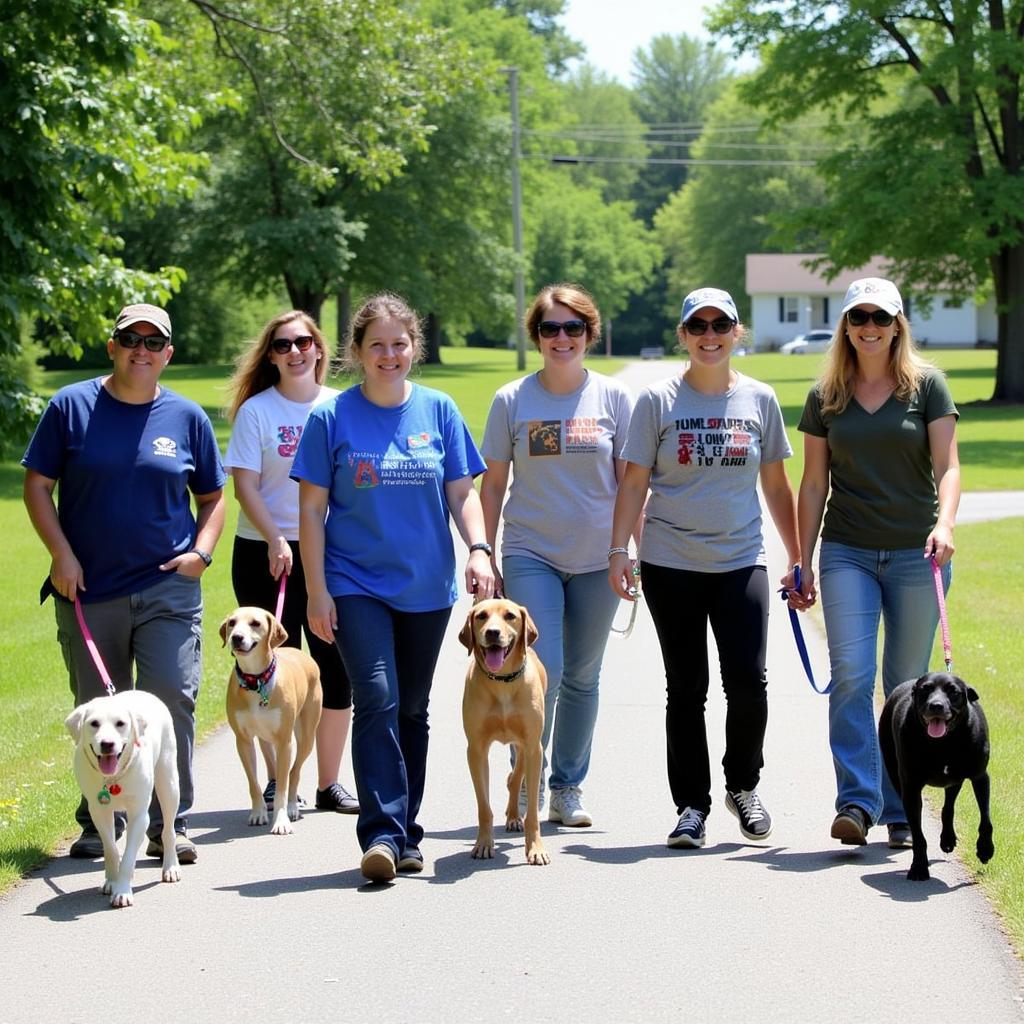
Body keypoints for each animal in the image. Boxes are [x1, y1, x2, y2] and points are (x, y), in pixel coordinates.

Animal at [65, 692, 182, 909]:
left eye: (120, 723)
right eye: (94, 723)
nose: (107, 744)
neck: (113, 779)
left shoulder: (139, 816)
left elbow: (128, 856)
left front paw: (122, 892)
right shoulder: (99, 811)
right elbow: (111, 848)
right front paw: (112, 881)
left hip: (168, 782)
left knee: (168, 829)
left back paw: (171, 866)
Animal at [218, 606, 321, 831]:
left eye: (255, 623)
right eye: (232, 622)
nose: (236, 637)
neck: (256, 681)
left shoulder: (284, 742)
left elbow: (283, 784)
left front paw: (281, 820)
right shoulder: (243, 742)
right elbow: (253, 783)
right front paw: (258, 812)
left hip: (307, 735)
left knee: (294, 771)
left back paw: (292, 807)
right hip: (265, 737)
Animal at [460, 598, 548, 864]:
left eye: (510, 616)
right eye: (481, 616)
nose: (492, 632)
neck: (502, 683)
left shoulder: (533, 746)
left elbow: (532, 811)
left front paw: (535, 849)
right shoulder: (476, 750)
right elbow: (484, 806)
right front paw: (483, 844)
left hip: (526, 746)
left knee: (516, 777)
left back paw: (514, 816)